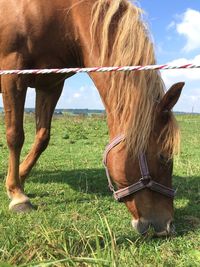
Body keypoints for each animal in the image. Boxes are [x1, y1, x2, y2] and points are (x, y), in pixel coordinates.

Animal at [0, 0, 184, 236]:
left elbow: (42, 137)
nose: (167, 226)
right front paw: (17, 195)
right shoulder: (13, 73)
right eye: (163, 157)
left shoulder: (51, 85)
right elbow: (15, 135)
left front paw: (18, 179)